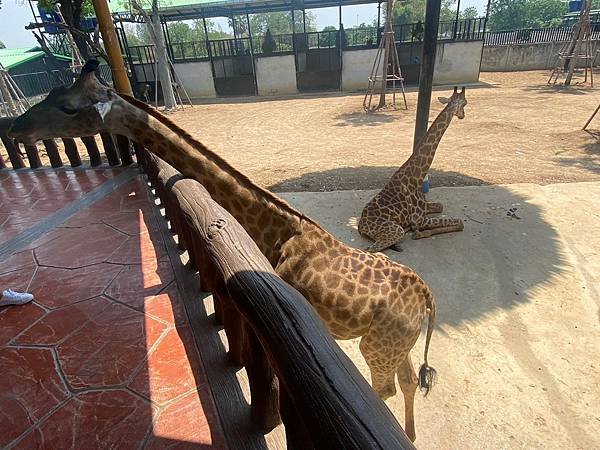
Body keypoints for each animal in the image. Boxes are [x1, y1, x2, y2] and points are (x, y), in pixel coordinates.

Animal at [9, 59, 438, 440]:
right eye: (52, 92)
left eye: (69, 106)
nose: (14, 127)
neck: (275, 231)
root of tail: (428, 300)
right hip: (396, 343)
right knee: (408, 381)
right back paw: (412, 435)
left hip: (376, 346)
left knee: (386, 389)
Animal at [358, 86, 466, 251]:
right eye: (465, 103)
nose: (462, 115)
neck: (418, 176)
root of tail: (361, 226)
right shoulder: (420, 219)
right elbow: (460, 222)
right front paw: (418, 233)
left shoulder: (425, 209)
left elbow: (441, 206)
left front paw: (416, 231)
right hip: (395, 230)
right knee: (370, 250)